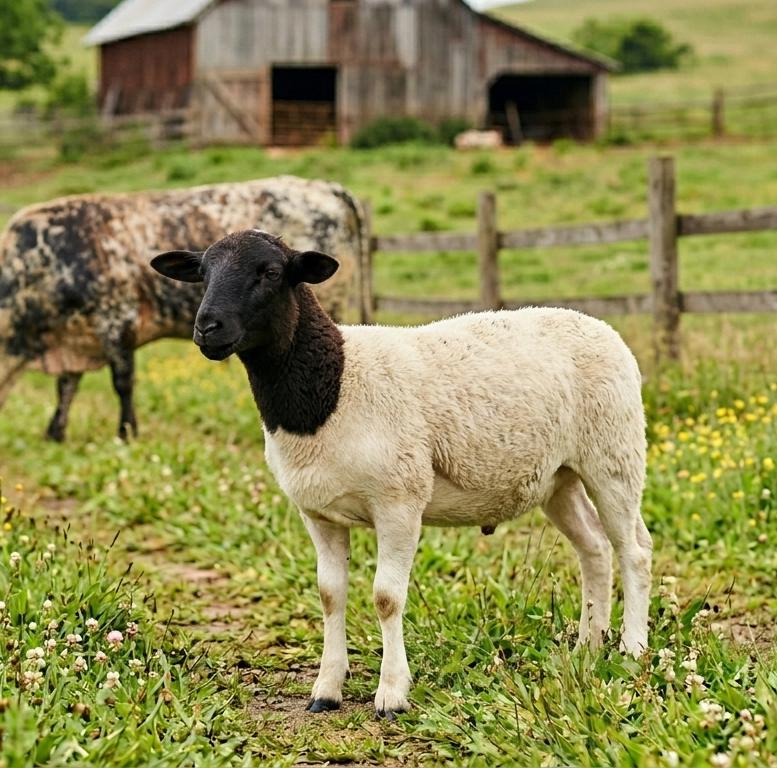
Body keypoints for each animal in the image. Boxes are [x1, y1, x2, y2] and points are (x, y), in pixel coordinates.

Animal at [0, 177, 363, 441]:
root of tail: (324, 187)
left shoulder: (117, 322)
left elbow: (123, 384)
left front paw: (127, 432)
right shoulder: (76, 337)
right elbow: (66, 386)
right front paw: (55, 431)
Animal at [151, 230, 652, 719]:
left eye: (271, 272)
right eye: (202, 272)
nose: (207, 328)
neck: (332, 386)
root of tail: (598, 325)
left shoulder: (399, 502)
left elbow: (385, 597)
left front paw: (391, 695)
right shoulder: (319, 513)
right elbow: (330, 593)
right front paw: (326, 689)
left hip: (614, 454)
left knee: (634, 551)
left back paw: (631, 648)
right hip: (559, 476)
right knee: (594, 548)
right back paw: (589, 645)